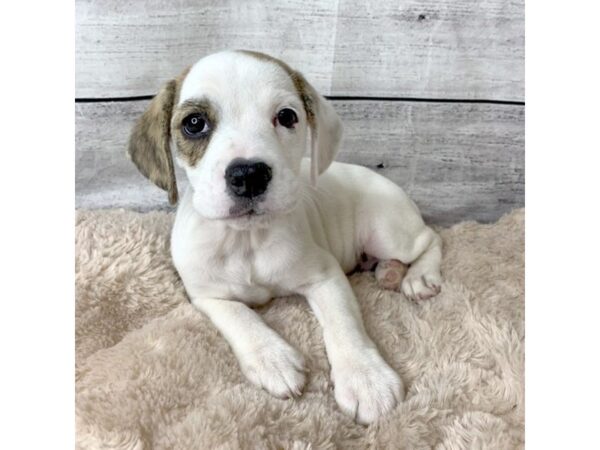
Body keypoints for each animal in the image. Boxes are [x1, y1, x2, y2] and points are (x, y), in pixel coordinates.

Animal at [127, 51, 440, 424]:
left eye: (287, 116)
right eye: (194, 123)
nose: (249, 174)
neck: (246, 240)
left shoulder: (326, 276)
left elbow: (344, 324)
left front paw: (366, 378)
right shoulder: (206, 296)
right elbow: (240, 318)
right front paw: (271, 359)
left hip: (387, 232)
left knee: (431, 239)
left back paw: (420, 276)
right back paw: (389, 272)